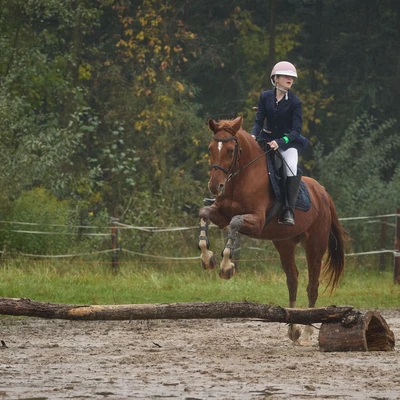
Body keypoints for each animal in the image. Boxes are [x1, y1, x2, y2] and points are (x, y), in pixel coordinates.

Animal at [198, 116, 348, 346]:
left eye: (231, 150)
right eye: (211, 148)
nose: (216, 187)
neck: (241, 177)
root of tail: (323, 192)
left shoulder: (257, 221)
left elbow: (235, 222)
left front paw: (226, 266)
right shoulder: (220, 215)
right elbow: (204, 213)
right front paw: (207, 258)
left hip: (315, 245)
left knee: (312, 285)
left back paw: (306, 333)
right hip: (284, 243)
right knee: (292, 279)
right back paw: (293, 329)